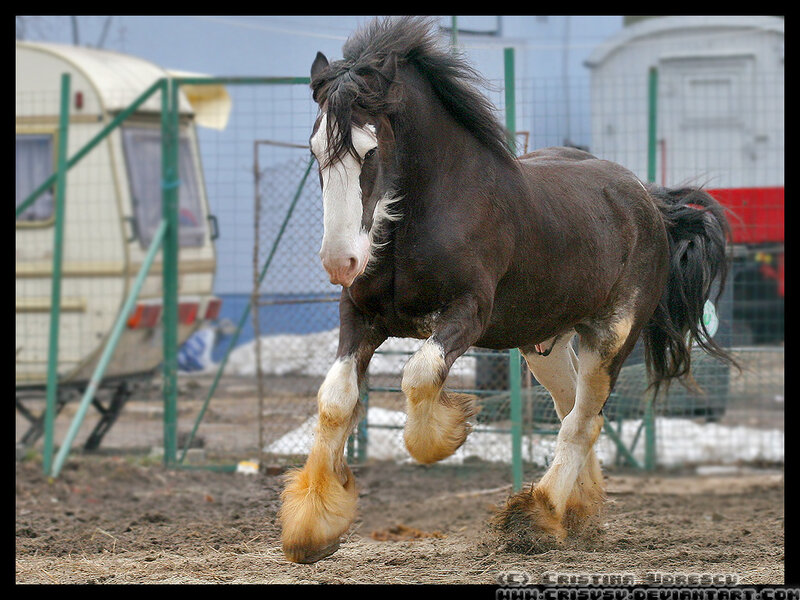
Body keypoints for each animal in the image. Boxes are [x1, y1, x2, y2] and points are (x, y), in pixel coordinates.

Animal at [278, 17, 735, 564]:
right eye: (315, 150)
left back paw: (536, 516)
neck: (427, 213)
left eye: (369, 150)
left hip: (612, 335)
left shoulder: (468, 313)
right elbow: (334, 401)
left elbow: (419, 376)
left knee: (582, 421)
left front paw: (449, 432)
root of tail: (648, 199)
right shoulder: (359, 316)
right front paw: (312, 528)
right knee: (574, 409)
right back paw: (576, 513)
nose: (340, 262)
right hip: (546, 343)